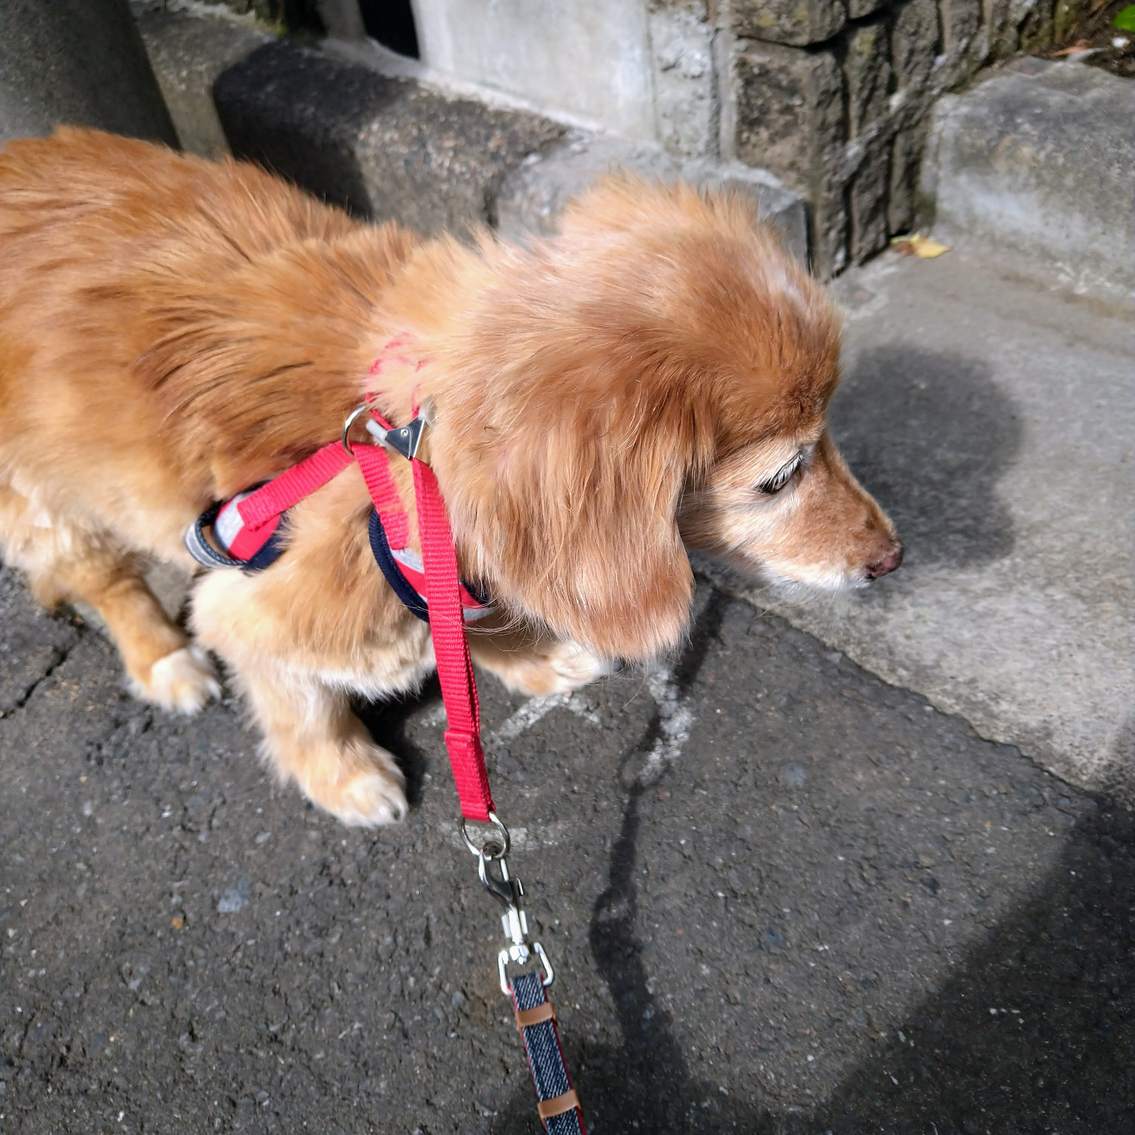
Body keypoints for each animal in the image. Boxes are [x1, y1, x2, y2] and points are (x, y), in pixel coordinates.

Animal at [0, 128, 902, 827]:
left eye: (828, 436)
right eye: (779, 478)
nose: (891, 558)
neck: (407, 445)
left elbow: (474, 621)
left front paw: (530, 656)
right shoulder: (258, 603)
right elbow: (300, 697)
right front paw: (343, 775)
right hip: (47, 497)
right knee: (101, 576)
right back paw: (165, 660)